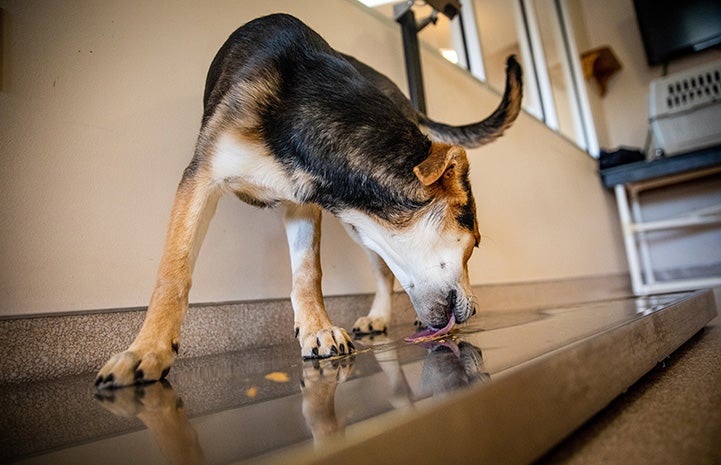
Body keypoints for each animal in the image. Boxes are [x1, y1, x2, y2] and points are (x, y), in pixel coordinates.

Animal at [95, 12, 524, 388]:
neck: (301, 113)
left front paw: (317, 330)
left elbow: (308, 274)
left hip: (357, 227)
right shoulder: (200, 178)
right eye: (474, 244)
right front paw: (146, 350)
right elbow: (174, 270)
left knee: (383, 272)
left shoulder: (303, 202)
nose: (474, 311)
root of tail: (400, 96)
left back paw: (379, 318)